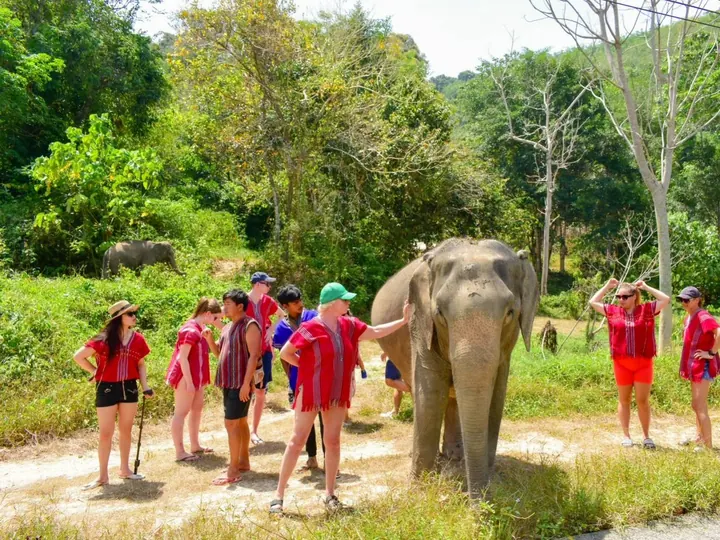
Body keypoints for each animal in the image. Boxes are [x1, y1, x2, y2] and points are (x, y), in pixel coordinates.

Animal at [371, 238, 539, 497]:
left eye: (510, 313)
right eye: (439, 313)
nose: (479, 502)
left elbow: (496, 398)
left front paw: (486, 478)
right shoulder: (420, 324)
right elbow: (429, 393)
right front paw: (419, 487)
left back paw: (455, 456)